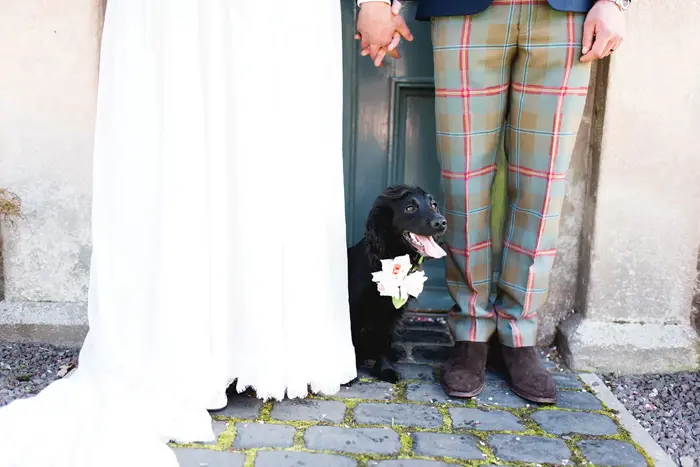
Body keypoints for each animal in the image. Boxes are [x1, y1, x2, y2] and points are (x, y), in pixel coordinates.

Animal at [346, 185, 448, 382]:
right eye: (410, 208)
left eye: (433, 205)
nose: (441, 222)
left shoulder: (391, 312)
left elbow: (384, 341)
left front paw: (385, 368)